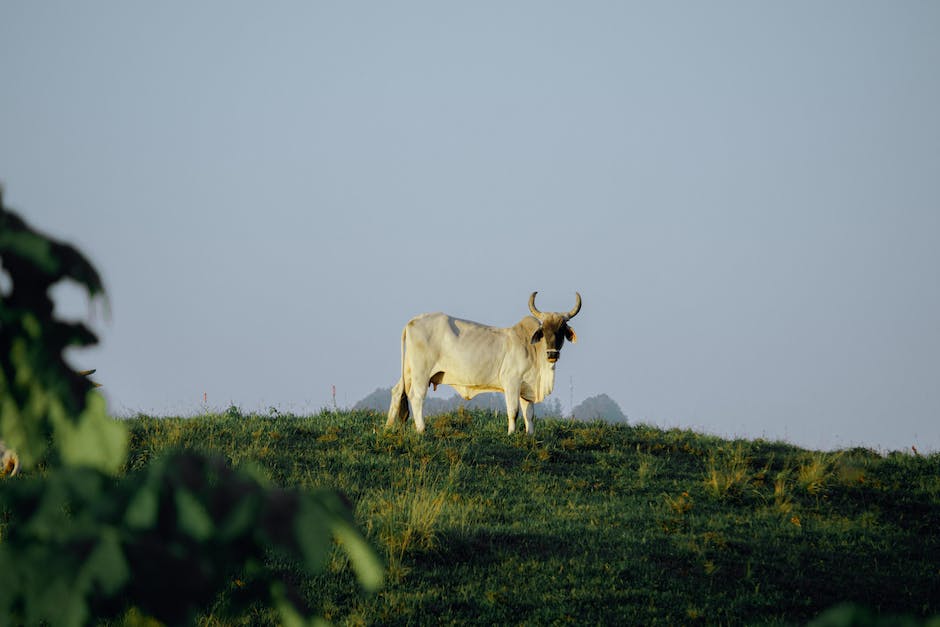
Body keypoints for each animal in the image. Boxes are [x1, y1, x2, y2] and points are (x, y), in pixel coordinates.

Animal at [384, 292, 580, 434]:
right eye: (544, 330)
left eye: (561, 330)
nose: (552, 354)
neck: (532, 349)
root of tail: (412, 321)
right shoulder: (511, 382)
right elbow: (513, 412)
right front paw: (511, 434)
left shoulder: (526, 388)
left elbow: (529, 415)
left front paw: (530, 435)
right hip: (421, 373)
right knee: (416, 397)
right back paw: (421, 429)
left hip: (409, 371)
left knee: (397, 391)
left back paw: (388, 426)